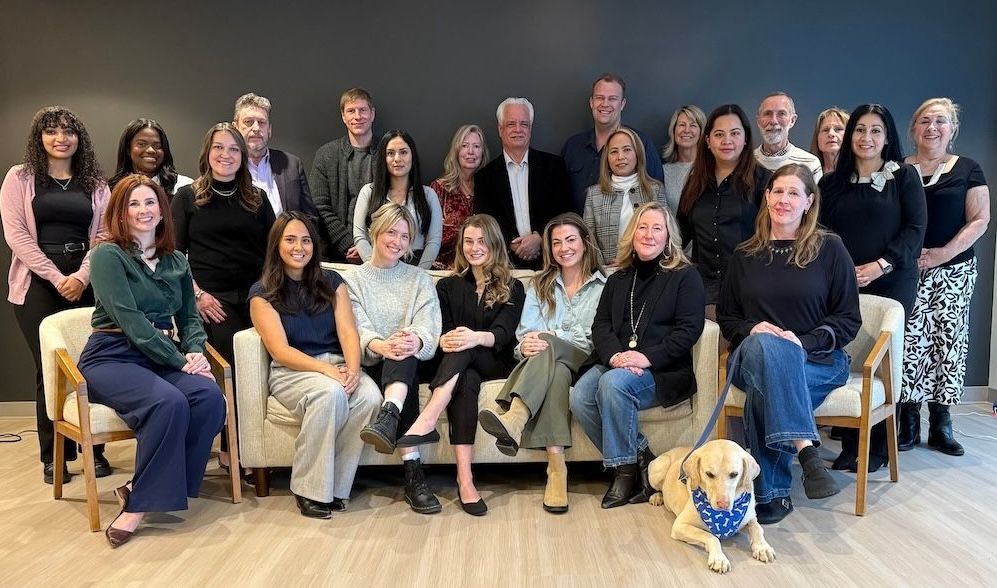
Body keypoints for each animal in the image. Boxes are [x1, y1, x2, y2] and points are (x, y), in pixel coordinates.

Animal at [648, 439, 775, 574]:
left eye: (734, 474)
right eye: (709, 474)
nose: (723, 504)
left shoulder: (750, 518)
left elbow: (757, 528)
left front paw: (762, 547)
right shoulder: (680, 525)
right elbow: (711, 537)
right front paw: (719, 558)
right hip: (659, 469)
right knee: (659, 487)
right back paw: (657, 496)